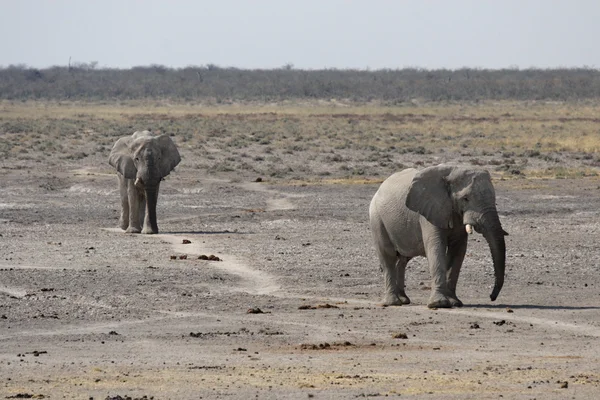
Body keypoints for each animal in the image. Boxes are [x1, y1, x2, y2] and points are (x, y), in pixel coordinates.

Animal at [370, 164, 506, 308]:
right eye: (465, 198)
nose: (491, 297)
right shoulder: (430, 211)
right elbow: (436, 247)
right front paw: (439, 304)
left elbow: (458, 251)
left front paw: (454, 302)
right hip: (377, 219)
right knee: (388, 257)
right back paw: (393, 302)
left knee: (402, 260)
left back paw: (404, 300)